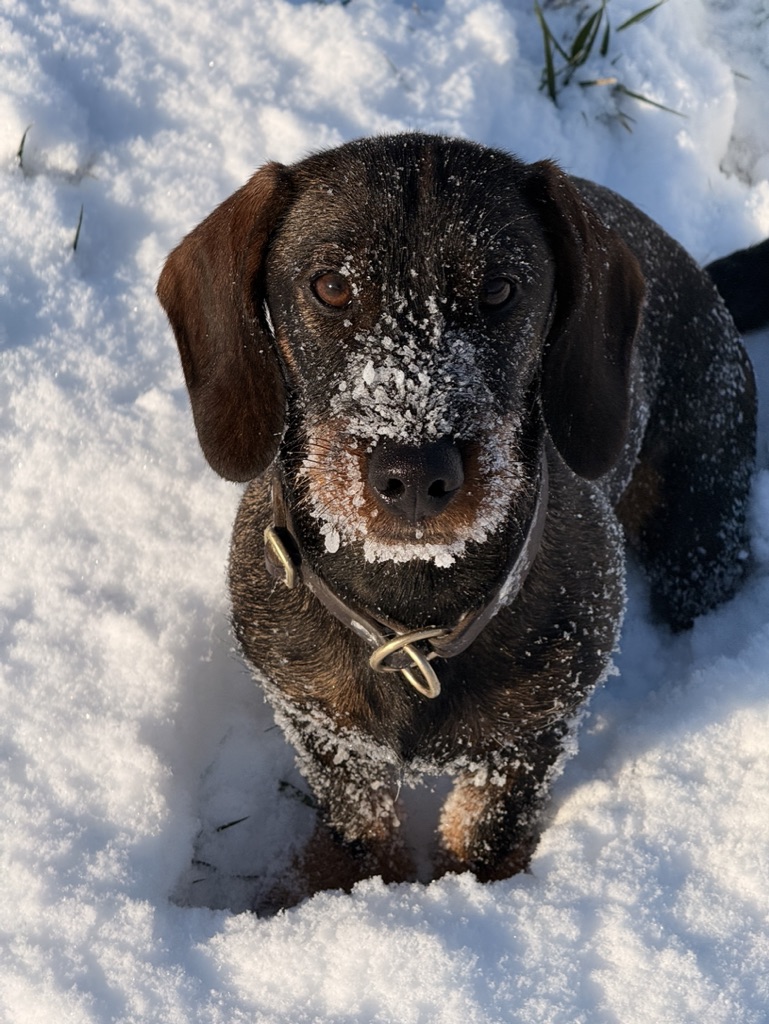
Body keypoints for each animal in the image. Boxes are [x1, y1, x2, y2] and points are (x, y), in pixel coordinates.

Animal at [157, 134, 764, 910]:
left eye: (500, 289)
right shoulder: (319, 722)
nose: (415, 473)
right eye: (331, 286)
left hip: (698, 539)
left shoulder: (530, 738)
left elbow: (482, 828)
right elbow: (360, 821)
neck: (414, 611)